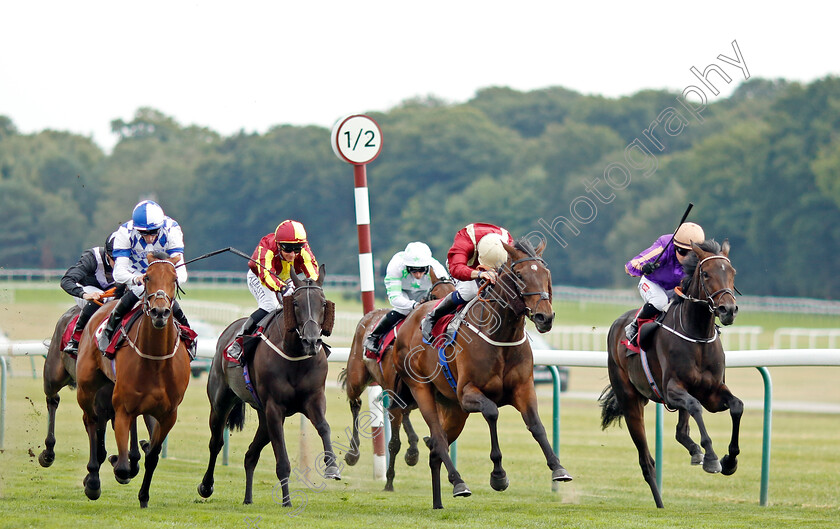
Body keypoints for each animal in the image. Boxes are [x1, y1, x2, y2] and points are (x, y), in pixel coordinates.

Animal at [74, 253, 189, 508]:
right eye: (146, 278)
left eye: (175, 279)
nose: (159, 312)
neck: (155, 360)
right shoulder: (123, 409)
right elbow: (124, 467)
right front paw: (116, 466)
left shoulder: (168, 414)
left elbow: (153, 457)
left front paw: (144, 496)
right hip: (86, 387)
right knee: (91, 421)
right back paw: (93, 480)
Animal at [198, 266, 342, 506]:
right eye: (296, 303)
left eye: (323, 303)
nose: (312, 341)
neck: (295, 355)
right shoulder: (275, 408)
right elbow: (282, 460)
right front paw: (287, 501)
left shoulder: (313, 399)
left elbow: (324, 427)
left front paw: (332, 467)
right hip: (221, 402)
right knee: (215, 442)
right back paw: (206, 486)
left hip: (263, 417)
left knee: (250, 455)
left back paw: (248, 499)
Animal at [340, 270, 456, 488]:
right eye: (435, 296)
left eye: (453, 292)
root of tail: (368, 316)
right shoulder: (394, 393)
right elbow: (394, 443)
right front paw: (389, 482)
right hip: (356, 379)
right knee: (355, 404)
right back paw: (353, 452)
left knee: (406, 412)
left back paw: (413, 449)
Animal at [394, 239, 572, 508]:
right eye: (520, 275)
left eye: (546, 274)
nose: (545, 317)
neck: (501, 336)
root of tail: (408, 322)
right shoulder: (467, 393)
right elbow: (492, 412)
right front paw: (498, 475)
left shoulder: (523, 389)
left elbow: (536, 424)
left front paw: (558, 468)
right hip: (422, 390)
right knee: (438, 438)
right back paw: (458, 482)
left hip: (453, 409)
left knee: (435, 449)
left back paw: (438, 503)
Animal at [596, 239, 740, 508]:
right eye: (706, 274)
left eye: (732, 272)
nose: (728, 309)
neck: (697, 336)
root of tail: (618, 323)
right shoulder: (672, 390)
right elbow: (695, 406)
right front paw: (712, 457)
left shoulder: (713, 393)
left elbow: (736, 406)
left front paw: (730, 461)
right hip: (630, 401)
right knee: (646, 461)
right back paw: (660, 501)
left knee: (681, 431)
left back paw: (694, 452)